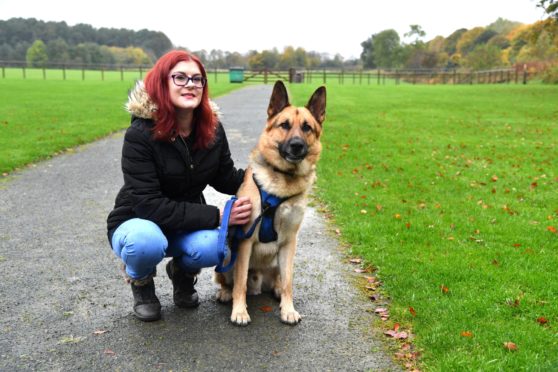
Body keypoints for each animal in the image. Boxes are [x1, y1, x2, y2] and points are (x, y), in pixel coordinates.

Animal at [215, 81, 328, 326]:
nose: (296, 145)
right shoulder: (245, 241)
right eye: (284, 125)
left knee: (280, 280)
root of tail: (258, 284)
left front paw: (288, 309)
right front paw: (240, 311)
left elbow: (288, 283)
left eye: (307, 128)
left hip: (279, 260)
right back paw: (226, 293)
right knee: (230, 281)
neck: (282, 181)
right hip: (228, 252)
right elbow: (239, 283)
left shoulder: (289, 242)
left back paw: (275, 290)